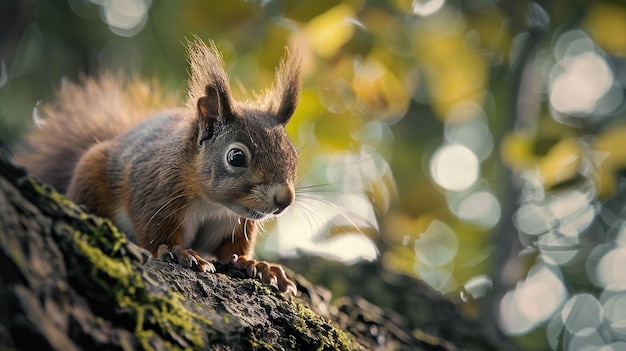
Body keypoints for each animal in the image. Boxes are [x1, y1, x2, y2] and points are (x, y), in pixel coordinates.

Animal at [14, 39, 298, 294]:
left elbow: (233, 250)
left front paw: (257, 265)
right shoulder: (153, 187)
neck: (213, 205)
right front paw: (177, 252)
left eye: (294, 156)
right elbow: (153, 230)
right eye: (236, 157)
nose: (285, 199)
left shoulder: (231, 223)